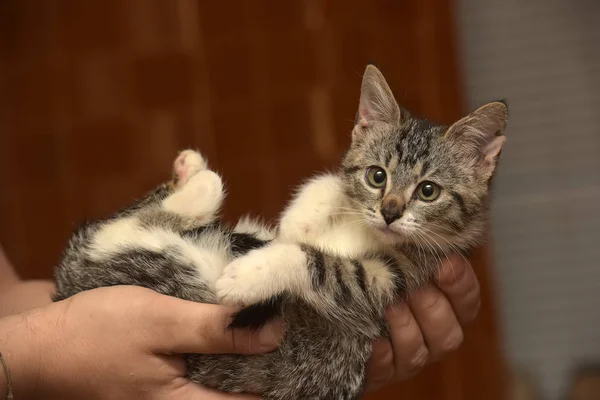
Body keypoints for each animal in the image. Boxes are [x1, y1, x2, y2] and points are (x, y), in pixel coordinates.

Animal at [54, 65, 508, 400]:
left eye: (428, 191)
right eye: (377, 176)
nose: (390, 212)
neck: (370, 232)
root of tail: (65, 284)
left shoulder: (388, 286)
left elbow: (321, 265)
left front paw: (247, 275)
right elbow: (324, 190)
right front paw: (301, 216)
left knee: (133, 224)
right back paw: (189, 171)